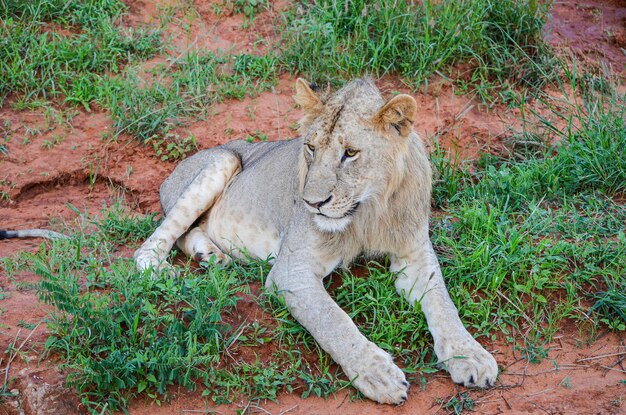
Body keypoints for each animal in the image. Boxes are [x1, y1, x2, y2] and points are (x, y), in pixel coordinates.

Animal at [133, 79, 498, 406]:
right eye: (310, 148)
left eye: (350, 153)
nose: (311, 203)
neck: (367, 212)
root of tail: (172, 170)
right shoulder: (290, 271)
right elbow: (332, 320)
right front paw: (378, 374)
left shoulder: (413, 254)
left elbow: (442, 301)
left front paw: (471, 356)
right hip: (222, 161)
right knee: (150, 246)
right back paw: (169, 272)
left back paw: (211, 255)